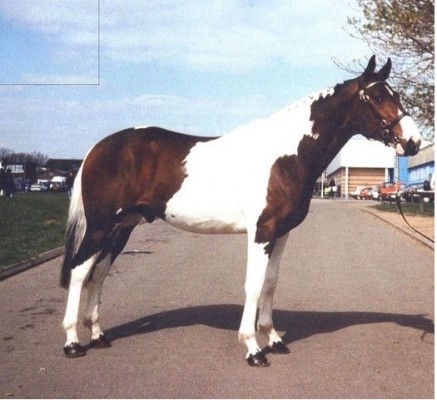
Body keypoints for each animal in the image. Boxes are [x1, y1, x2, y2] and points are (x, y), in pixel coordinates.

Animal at [59, 56, 420, 366]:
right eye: (377, 96)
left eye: (396, 95)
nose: (413, 142)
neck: (286, 155)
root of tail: (97, 148)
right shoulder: (261, 232)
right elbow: (254, 285)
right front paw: (253, 348)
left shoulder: (281, 234)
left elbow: (271, 283)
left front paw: (274, 339)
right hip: (101, 226)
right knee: (79, 271)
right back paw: (73, 342)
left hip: (123, 226)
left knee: (98, 273)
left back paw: (98, 335)